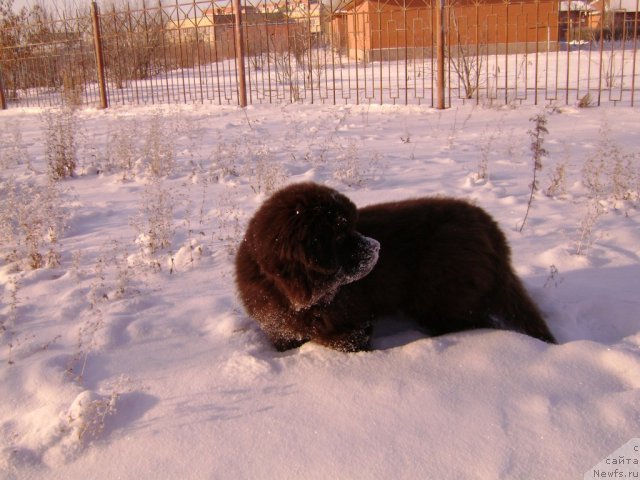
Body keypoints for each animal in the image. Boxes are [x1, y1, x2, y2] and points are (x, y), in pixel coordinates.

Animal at [235, 182, 556, 350]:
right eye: (339, 235)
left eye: (353, 226)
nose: (378, 247)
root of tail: (488, 224)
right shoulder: (279, 330)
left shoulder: (351, 324)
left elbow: (337, 337)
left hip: (441, 296)